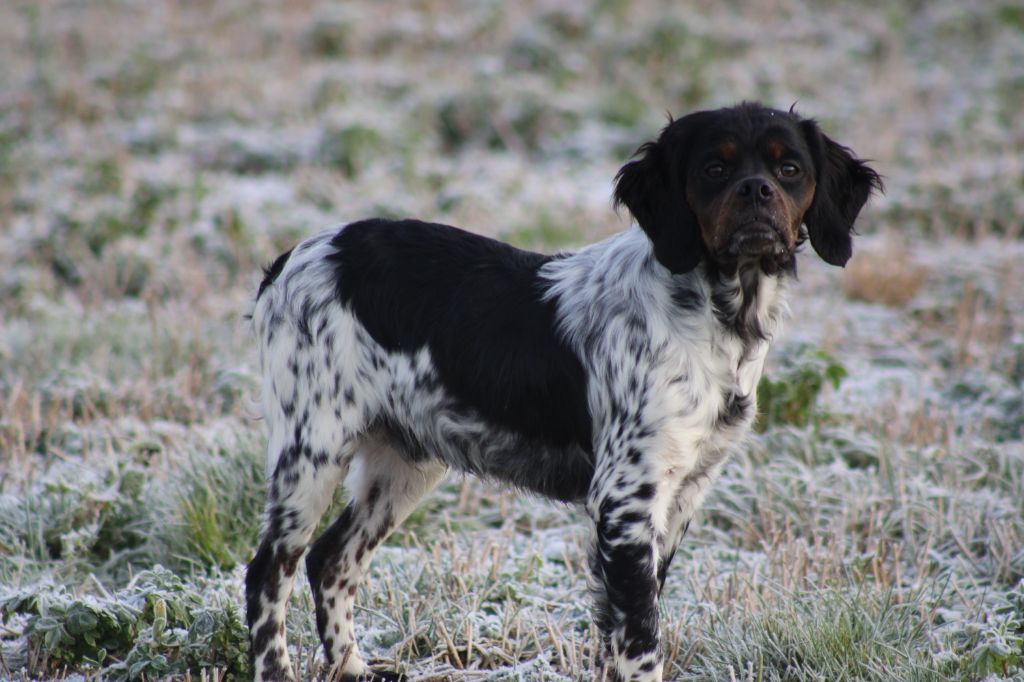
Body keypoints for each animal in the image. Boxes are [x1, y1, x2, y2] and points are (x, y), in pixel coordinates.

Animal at [245, 102, 880, 679]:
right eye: (714, 169)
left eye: (789, 168)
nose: (756, 191)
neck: (717, 314)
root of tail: (292, 257)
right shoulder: (625, 497)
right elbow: (640, 640)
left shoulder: (682, 494)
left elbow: (620, 631)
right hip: (313, 450)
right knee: (268, 572)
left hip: (404, 461)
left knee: (331, 560)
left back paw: (353, 669)